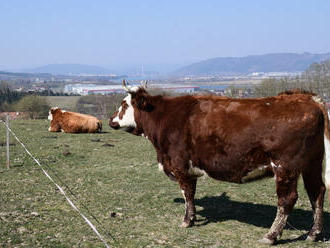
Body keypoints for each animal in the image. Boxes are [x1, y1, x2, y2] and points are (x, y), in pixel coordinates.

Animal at [109, 81, 328, 244]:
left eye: (124, 104)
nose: (111, 120)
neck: (165, 117)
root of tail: (307, 98)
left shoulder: (180, 165)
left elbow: (187, 193)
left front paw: (187, 221)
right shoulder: (190, 169)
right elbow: (192, 193)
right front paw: (193, 218)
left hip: (285, 167)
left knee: (287, 199)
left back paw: (271, 236)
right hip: (312, 164)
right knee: (317, 193)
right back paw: (313, 234)